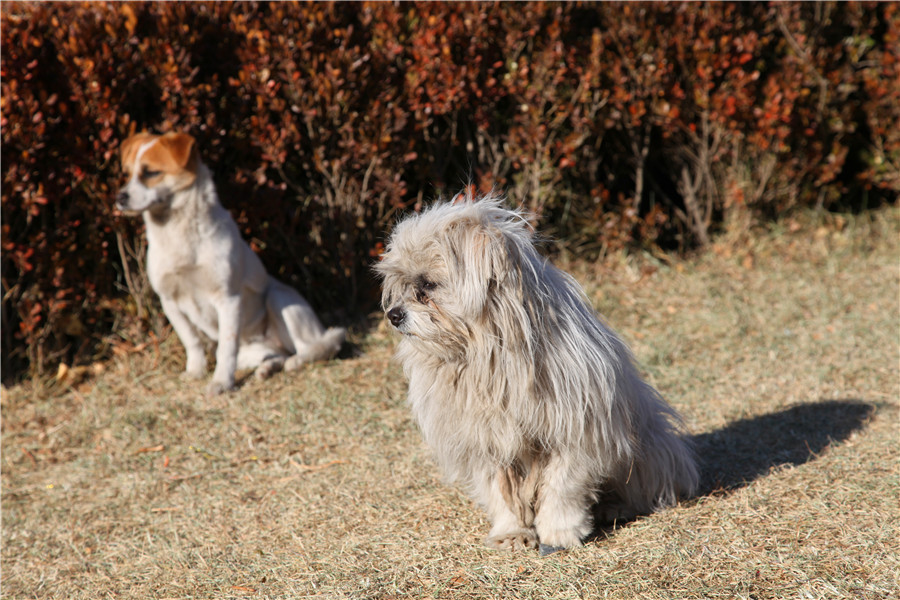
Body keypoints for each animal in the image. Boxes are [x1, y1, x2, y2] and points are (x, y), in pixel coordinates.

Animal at [115, 131, 344, 394]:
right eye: (127, 173)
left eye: (151, 172)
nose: (119, 197)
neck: (179, 238)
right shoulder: (169, 300)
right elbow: (191, 340)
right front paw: (195, 372)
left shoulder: (228, 298)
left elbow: (225, 348)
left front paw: (221, 383)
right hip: (253, 351)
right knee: (278, 354)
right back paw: (267, 369)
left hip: (280, 300)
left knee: (314, 348)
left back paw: (295, 362)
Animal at [376, 195, 700, 556]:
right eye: (404, 286)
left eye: (428, 285)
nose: (393, 315)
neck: (489, 356)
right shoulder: (486, 440)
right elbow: (500, 492)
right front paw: (512, 531)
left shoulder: (578, 431)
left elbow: (562, 486)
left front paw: (559, 531)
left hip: (648, 448)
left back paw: (614, 506)